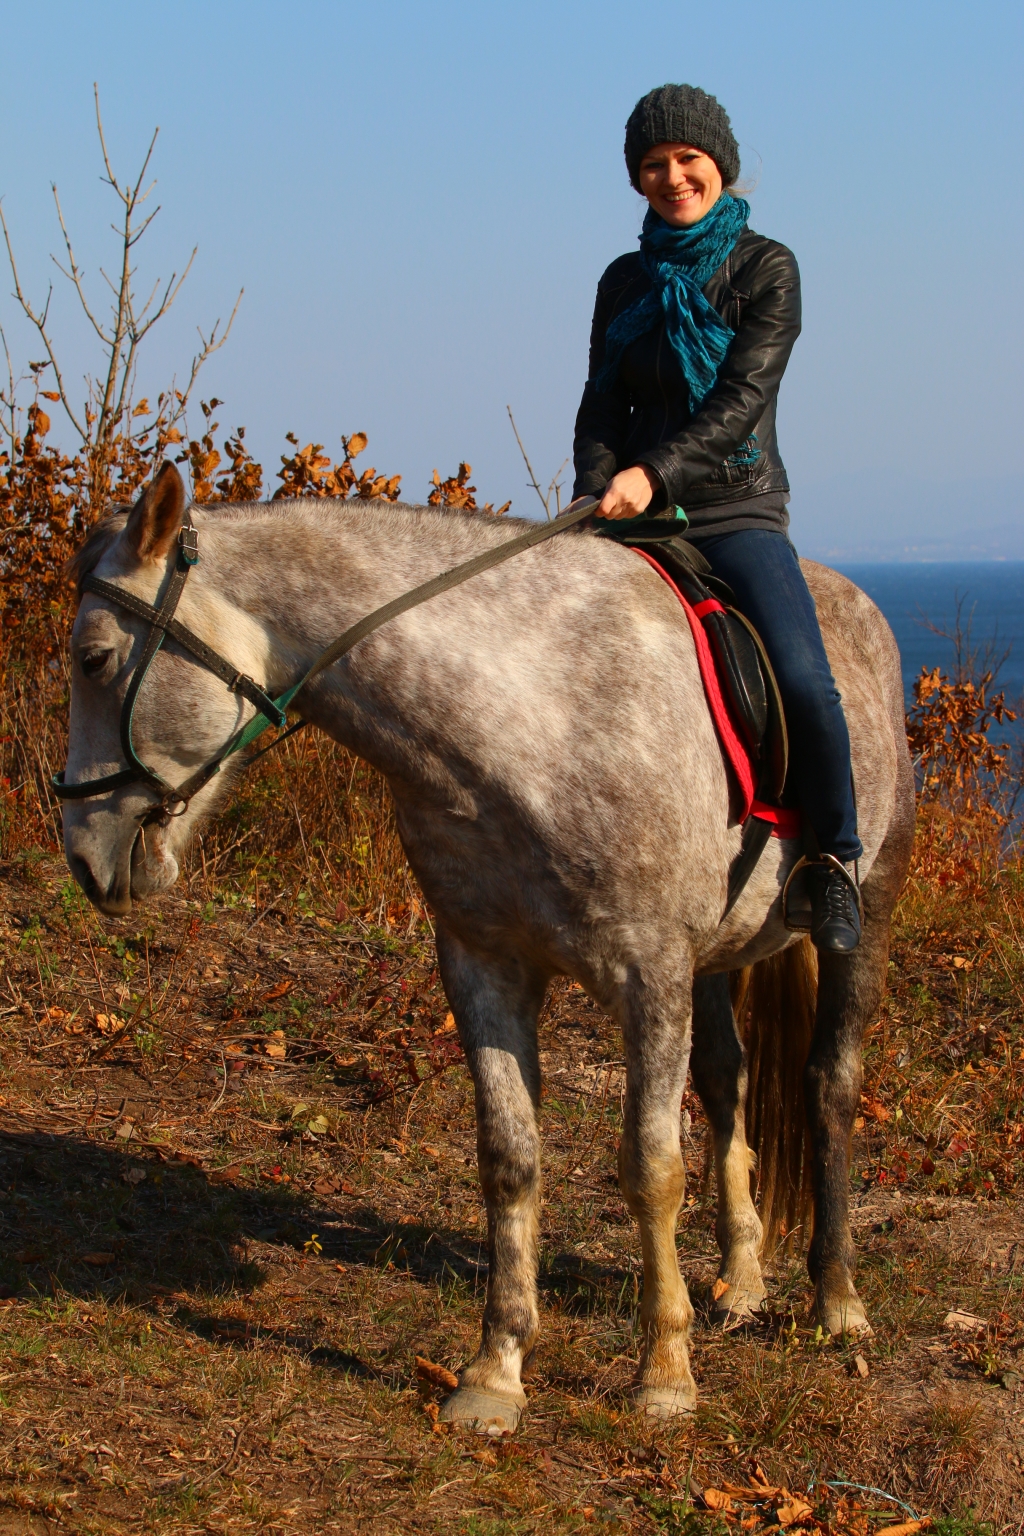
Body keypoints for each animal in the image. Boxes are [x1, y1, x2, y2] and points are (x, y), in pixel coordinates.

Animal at [57, 463, 914, 1425]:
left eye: (94, 659)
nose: (85, 856)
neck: (536, 715)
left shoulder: (650, 974)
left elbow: (650, 1167)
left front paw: (663, 1372)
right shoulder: (485, 968)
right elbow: (511, 1159)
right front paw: (495, 1371)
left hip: (865, 915)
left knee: (828, 1086)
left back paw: (836, 1300)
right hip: (717, 959)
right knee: (727, 1085)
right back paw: (742, 1282)